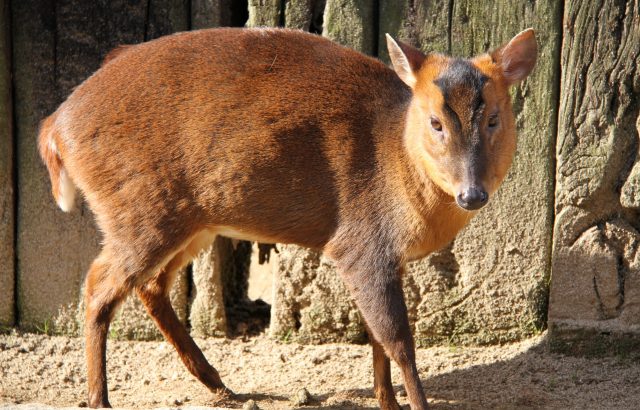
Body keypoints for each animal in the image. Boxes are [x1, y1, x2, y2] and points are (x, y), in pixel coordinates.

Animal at [38, 27, 536, 408]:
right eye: (435, 122)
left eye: (494, 118)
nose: (472, 194)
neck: (398, 160)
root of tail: (55, 126)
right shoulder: (361, 242)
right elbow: (398, 340)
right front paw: (413, 404)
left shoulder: (384, 259)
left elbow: (376, 338)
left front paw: (387, 402)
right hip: (140, 210)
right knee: (98, 287)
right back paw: (101, 399)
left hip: (189, 222)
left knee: (150, 286)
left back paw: (218, 383)